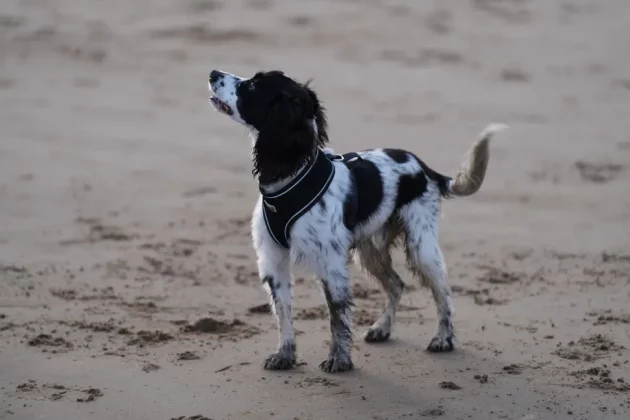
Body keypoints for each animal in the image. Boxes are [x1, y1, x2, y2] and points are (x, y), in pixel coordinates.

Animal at [210, 69, 512, 374]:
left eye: (252, 85)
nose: (213, 73)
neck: (292, 176)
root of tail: (425, 169)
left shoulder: (331, 264)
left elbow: (337, 317)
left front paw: (339, 359)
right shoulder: (273, 261)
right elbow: (283, 314)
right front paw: (285, 355)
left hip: (421, 247)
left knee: (443, 292)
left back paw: (443, 338)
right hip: (370, 251)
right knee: (396, 285)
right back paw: (382, 328)